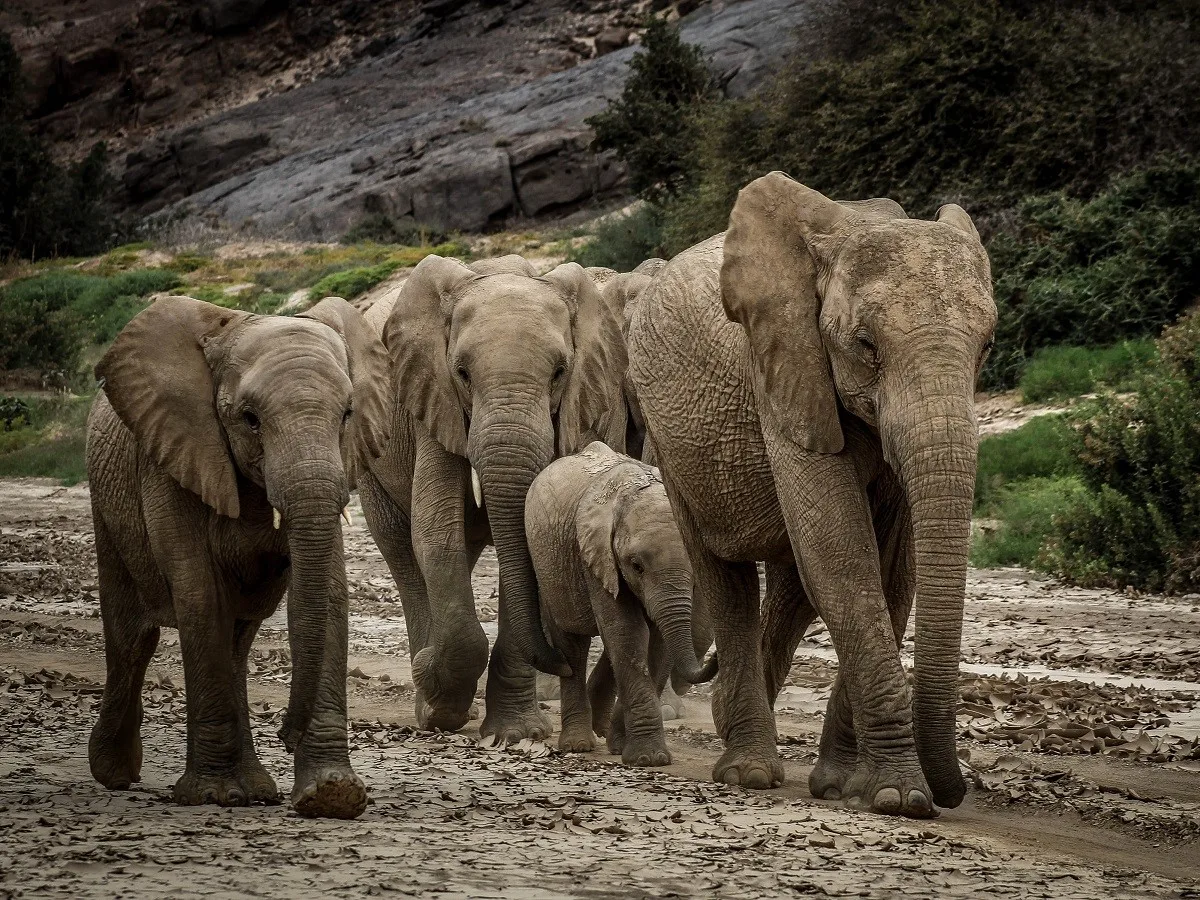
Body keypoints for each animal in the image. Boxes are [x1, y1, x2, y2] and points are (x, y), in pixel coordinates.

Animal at [85, 295, 391, 819]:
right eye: (250, 418)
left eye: (347, 414)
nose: (286, 733)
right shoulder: (173, 455)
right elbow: (200, 593)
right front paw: (213, 796)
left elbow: (328, 594)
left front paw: (332, 796)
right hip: (106, 505)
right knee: (133, 636)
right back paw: (116, 774)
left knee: (236, 640)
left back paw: (255, 789)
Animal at [357, 253, 628, 742]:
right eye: (462, 373)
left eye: (560, 372)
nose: (560, 661)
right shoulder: (432, 400)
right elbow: (435, 533)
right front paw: (439, 701)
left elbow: (528, 538)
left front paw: (518, 733)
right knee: (402, 549)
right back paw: (428, 697)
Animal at [524, 441, 716, 764]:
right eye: (636, 566)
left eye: (696, 567)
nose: (715, 660)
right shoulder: (595, 556)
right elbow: (628, 633)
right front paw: (649, 759)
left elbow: (655, 641)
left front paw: (626, 747)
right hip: (549, 568)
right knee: (572, 646)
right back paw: (578, 744)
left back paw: (605, 735)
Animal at [625, 172, 996, 818]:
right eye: (866, 346)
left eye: (987, 347)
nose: (954, 793)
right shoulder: (781, 369)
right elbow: (843, 560)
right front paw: (902, 797)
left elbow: (892, 573)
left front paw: (849, 788)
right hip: (668, 442)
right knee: (725, 577)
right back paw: (747, 770)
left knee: (793, 588)